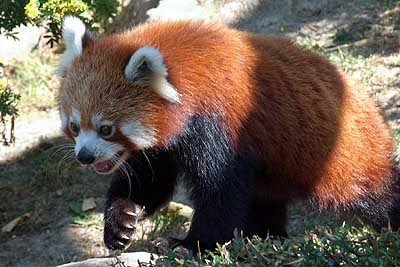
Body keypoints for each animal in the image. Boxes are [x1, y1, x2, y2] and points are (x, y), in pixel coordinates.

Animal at [57, 17, 398, 253]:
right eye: (75, 126)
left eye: (106, 128)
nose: (84, 156)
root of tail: (369, 105)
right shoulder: (164, 143)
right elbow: (150, 180)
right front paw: (121, 223)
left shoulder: (219, 124)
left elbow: (220, 192)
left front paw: (190, 245)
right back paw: (264, 237)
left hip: (343, 156)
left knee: (376, 195)